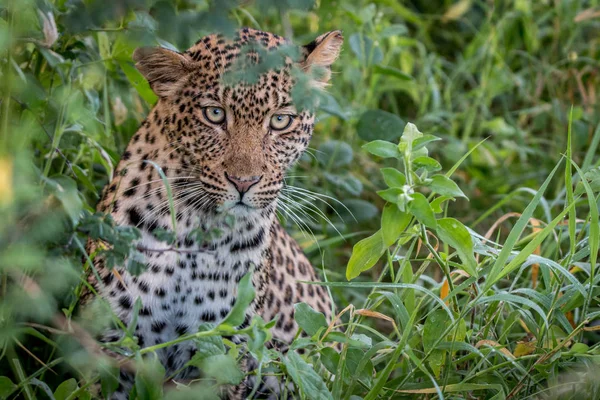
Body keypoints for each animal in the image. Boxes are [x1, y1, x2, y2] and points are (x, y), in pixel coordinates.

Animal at [84, 26, 344, 398]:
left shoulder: (223, 354)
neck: (197, 231)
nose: (244, 182)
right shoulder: (110, 343)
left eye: (281, 120)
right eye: (215, 114)